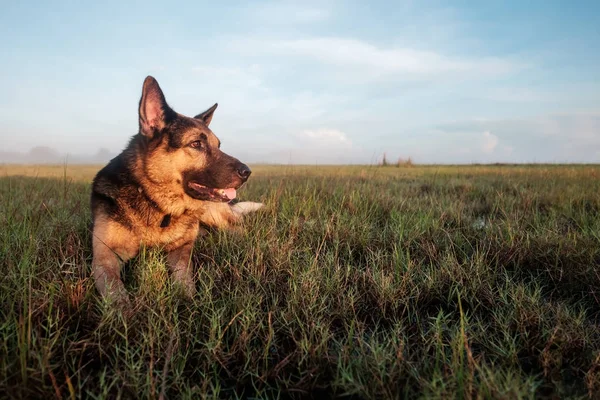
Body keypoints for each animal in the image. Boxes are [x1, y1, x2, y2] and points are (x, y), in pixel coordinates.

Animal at [89, 76, 262, 306]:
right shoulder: (104, 258)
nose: (247, 172)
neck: (156, 202)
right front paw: (124, 311)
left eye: (218, 145)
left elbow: (183, 275)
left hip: (215, 215)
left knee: (239, 229)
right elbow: (115, 290)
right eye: (196, 144)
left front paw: (188, 299)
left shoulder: (181, 250)